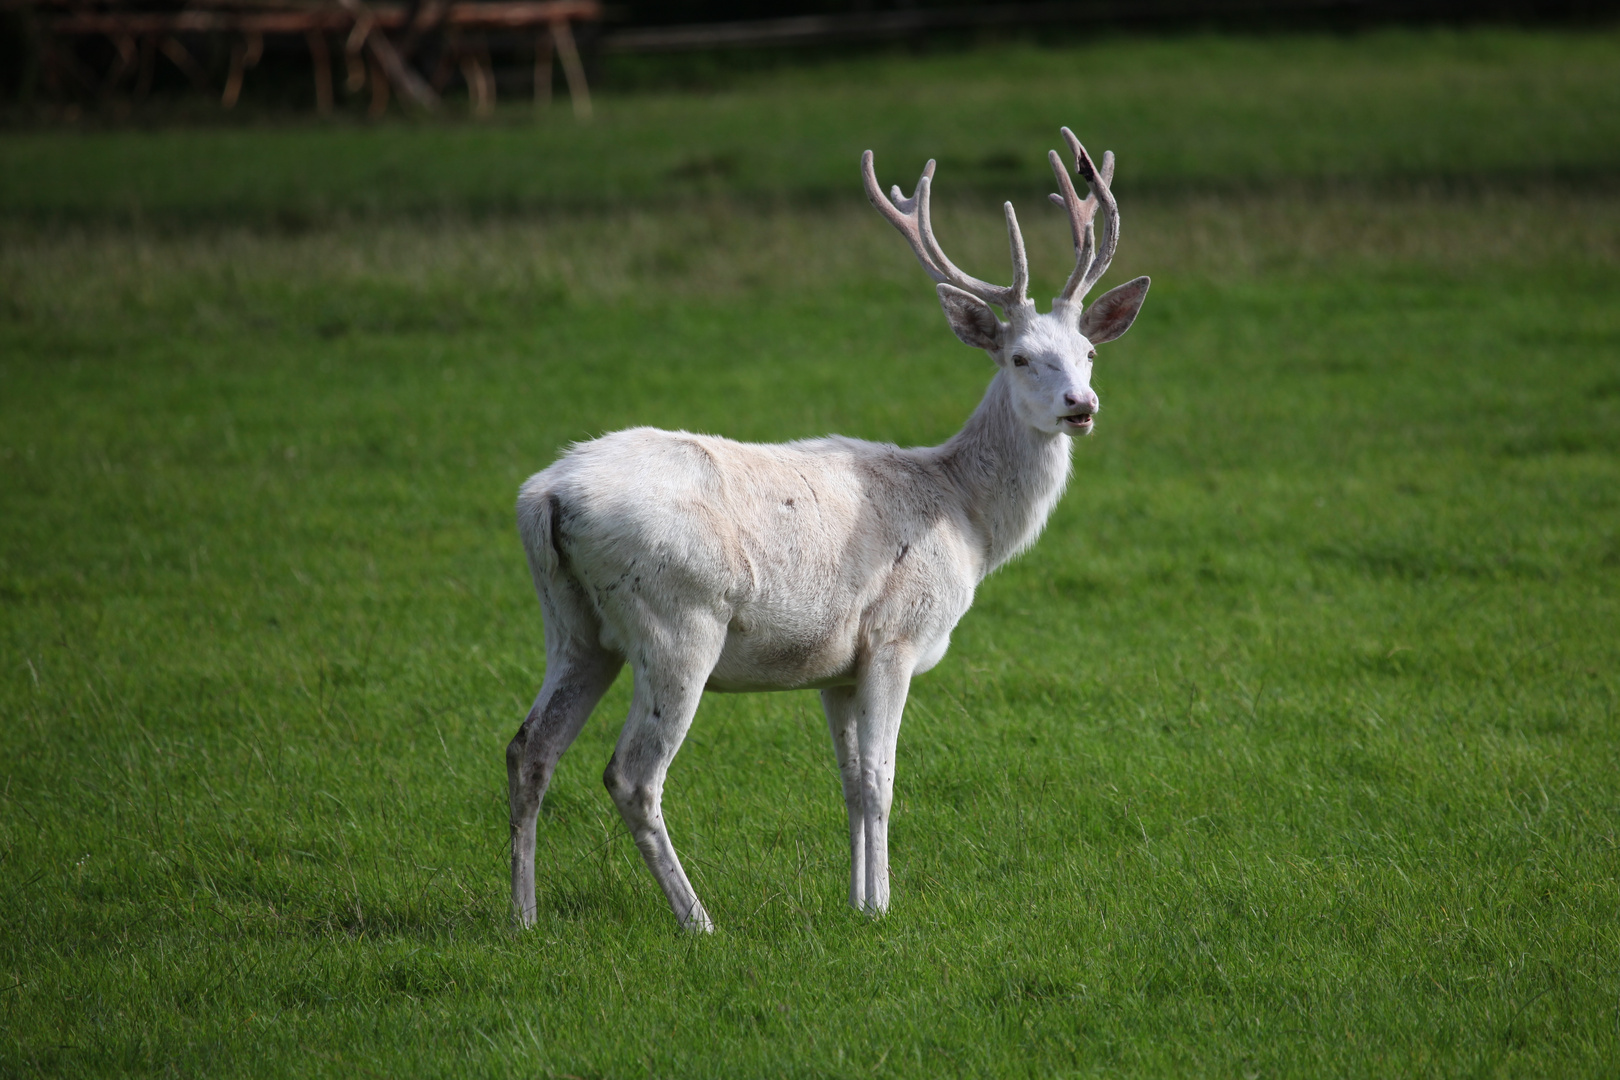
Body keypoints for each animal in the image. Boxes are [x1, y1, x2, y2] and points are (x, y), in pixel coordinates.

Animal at [511, 122, 1146, 926]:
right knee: (631, 774)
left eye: (1089, 352)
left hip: (573, 624)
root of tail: (546, 498)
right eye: (1021, 357)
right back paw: (697, 920)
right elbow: (881, 780)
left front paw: (857, 904)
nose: (1081, 406)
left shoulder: (837, 664)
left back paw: (523, 919)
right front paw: (883, 910)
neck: (967, 521)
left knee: (530, 747)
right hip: (677, 621)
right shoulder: (896, 634)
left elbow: (848, 781)